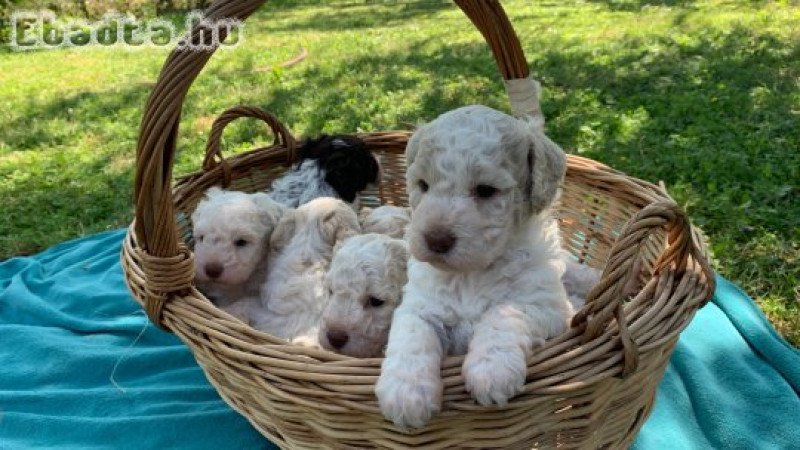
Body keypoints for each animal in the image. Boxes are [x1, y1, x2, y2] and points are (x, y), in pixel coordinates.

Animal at [376, 103, 576, 428]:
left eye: (485, 190)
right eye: (423, 185)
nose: (435, 239)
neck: (469, 274)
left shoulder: (548, 307)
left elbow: (503, 313)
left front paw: (491, 372)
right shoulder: (419, 306)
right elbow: (412, 336)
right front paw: (405, 393)